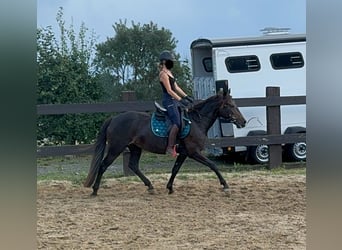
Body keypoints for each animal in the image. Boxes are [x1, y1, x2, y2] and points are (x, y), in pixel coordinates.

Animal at [85, 91, 246, 196]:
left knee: (133, 165)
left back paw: (150, 186)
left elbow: (175, 169)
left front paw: (169, 188)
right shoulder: (193, 152)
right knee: (103, 165)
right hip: (116, 148)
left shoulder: (183, 153)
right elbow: (213, 165)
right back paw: (95, 190)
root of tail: (114, 118)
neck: (196, 121)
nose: (243, 122)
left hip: (135, 148)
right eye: (230, 105)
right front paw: (225, 185)